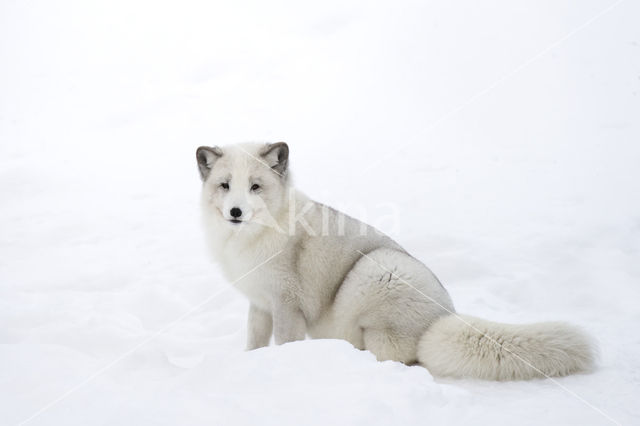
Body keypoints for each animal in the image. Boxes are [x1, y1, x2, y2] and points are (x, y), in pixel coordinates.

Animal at [195, 141, 596, 382]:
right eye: (225, 185)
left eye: (256, 186)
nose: (235, 211)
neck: (250, 239)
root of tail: (444, 317)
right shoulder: (260, 303)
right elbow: (254, 341)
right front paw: (250, 362)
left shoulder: (287, 304)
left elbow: (285, 342)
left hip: (373, 272)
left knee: (399, 357)